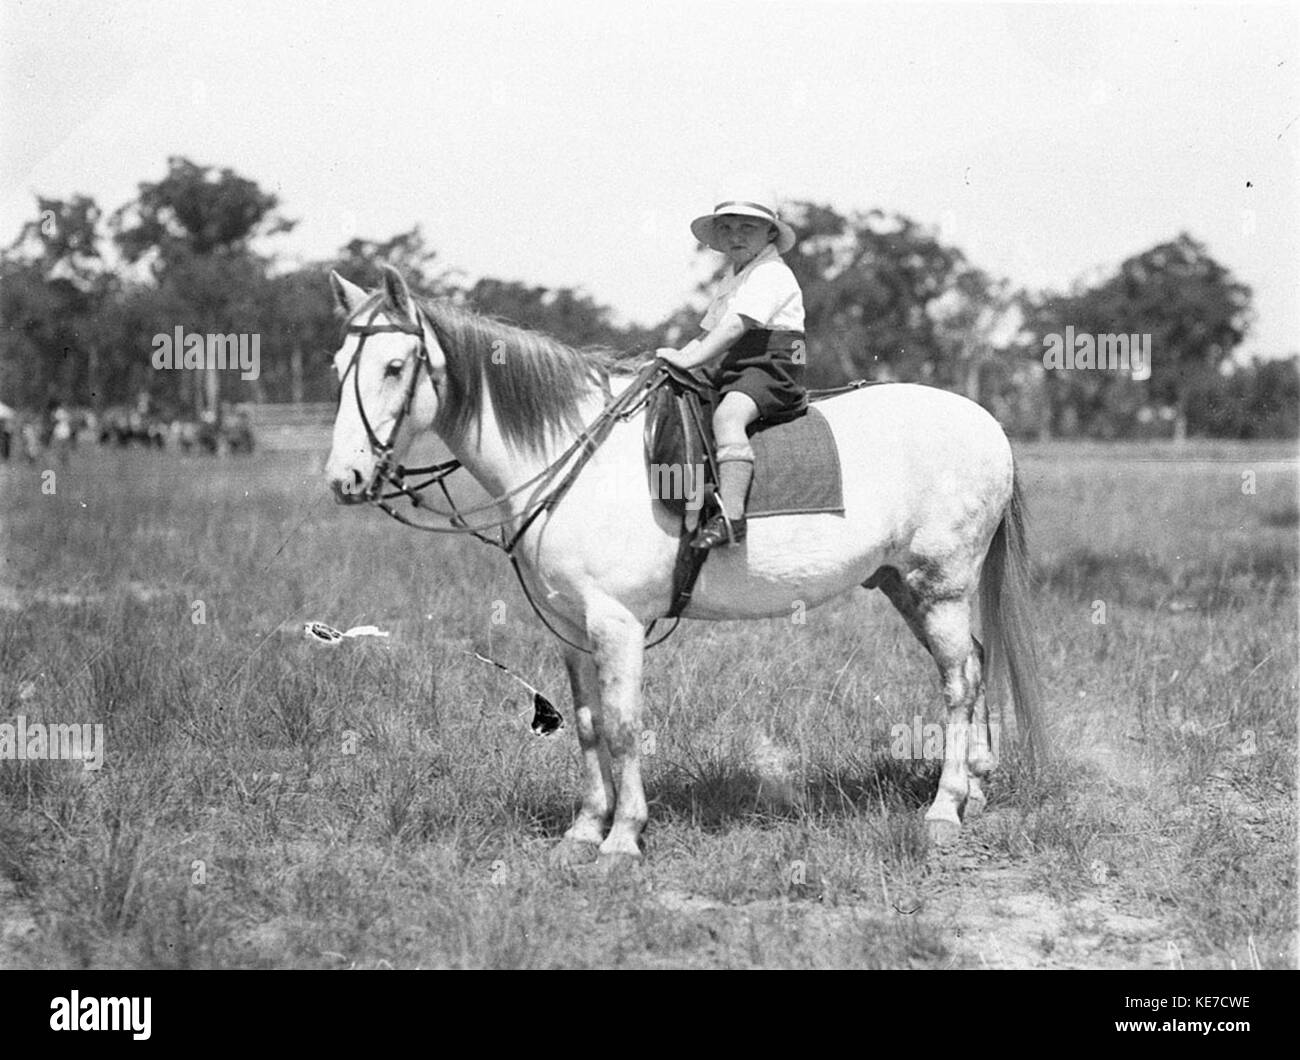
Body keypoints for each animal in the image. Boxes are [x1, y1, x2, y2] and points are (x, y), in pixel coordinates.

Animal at [325, 265, 1045, 868]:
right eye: (338, 366)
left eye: (394, 365)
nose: (344, 479)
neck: (574, 453)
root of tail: (988, 422)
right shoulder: (572, 629)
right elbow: (587, 725)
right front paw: (584, 830)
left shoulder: (616, 623)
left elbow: (622, 726)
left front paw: (622, 839)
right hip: (905, 585)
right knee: (975, 664)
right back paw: (975, 788)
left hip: (940, 585)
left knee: (957, 683)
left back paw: (945, 808)